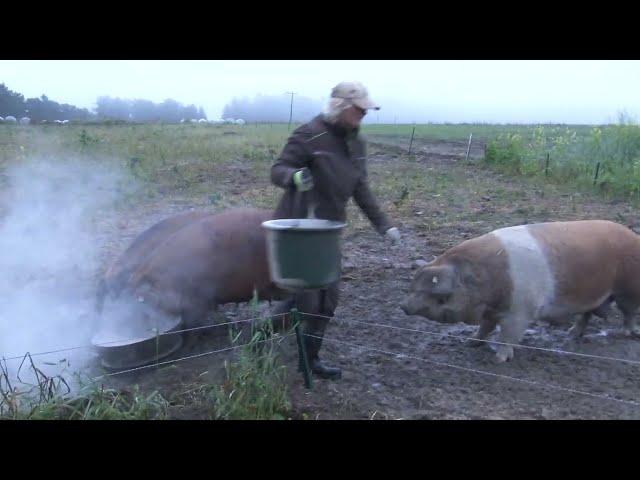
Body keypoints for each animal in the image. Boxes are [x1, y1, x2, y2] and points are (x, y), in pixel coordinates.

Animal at [400, 219, 640, 362]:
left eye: (440, 295)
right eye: (413, 287)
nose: (404, 306)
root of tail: (633, 236)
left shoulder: (520, 312)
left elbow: (508, 335)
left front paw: (499, 359)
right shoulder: (491, 311)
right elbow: (485, 328)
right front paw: (471, 342)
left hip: (628, 289)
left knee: (629, 312)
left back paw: (627, 333)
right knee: (586, 315)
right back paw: (572, 334)